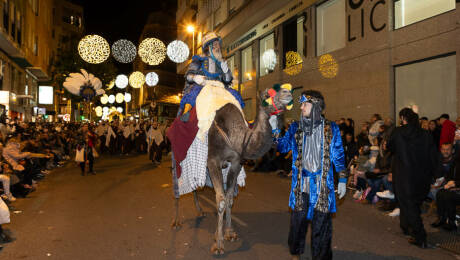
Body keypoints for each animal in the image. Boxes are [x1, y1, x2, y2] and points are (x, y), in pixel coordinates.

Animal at [171, 85, 292, 254]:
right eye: (266, 95)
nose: (288, 93)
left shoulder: (235, 163)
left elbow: (228, 198)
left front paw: (227, 233)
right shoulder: (212, 161)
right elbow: (220, 200)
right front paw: (218, 245)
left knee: (195, 186)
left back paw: (200, 211)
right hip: (176, 156)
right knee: (177, 185)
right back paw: (176, 221)